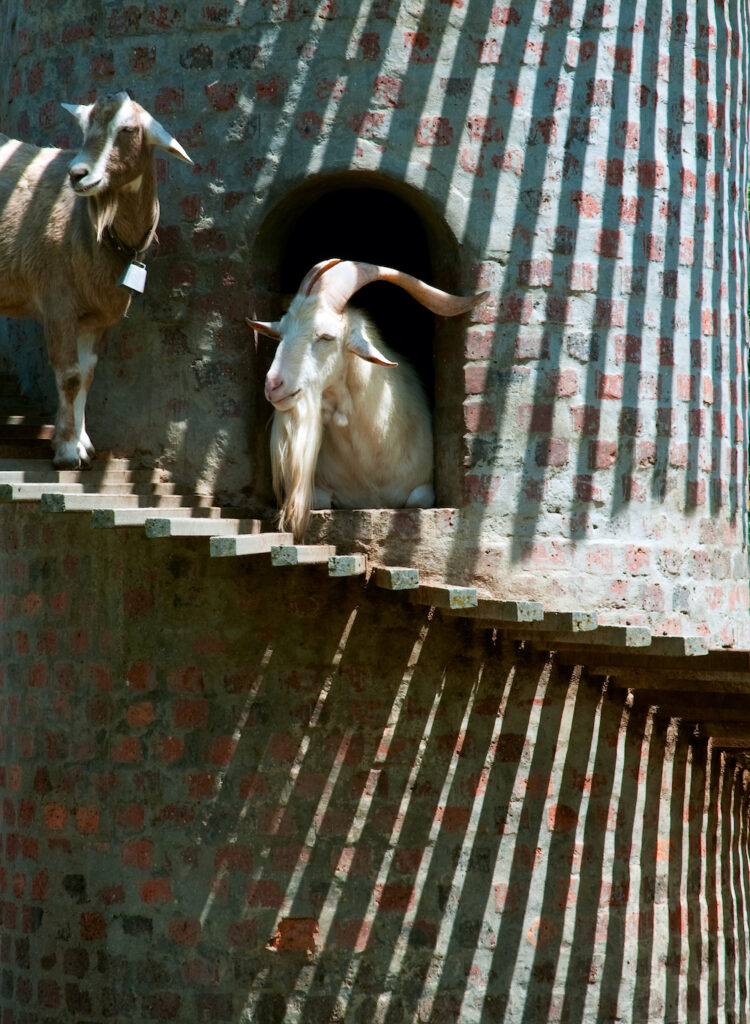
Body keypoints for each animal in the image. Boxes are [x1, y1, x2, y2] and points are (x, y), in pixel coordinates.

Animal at [0, 91, 192, 468]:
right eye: (84, 128)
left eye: (129, 129)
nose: (78, 174)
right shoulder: (57, 302)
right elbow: (70, 375)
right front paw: (67, 450)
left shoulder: (93, 318)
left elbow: (87, 375)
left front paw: (82, 441)